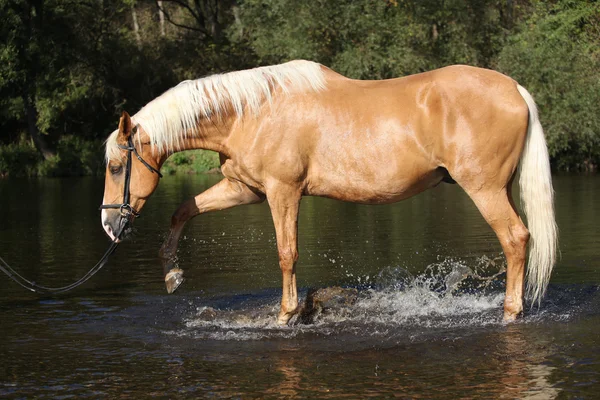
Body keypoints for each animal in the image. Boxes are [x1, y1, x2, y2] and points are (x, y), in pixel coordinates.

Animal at [102, 61, 556, 324]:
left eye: (115, 166)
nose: (110, 224)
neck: (251, 112)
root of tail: (514, 88)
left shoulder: (282, 192)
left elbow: (287, 253)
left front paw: (286, 315)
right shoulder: (244, 189)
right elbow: (183, 210)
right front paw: (172, 273)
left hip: (484, 189)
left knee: (515, 239)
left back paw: (511, 313)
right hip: (500, 189)